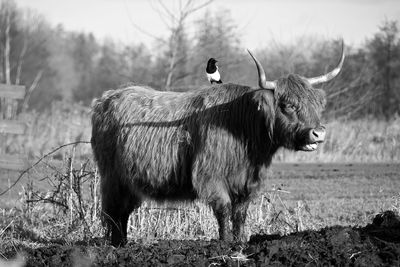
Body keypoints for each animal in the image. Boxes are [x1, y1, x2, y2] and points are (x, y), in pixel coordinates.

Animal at [90, 43, 344, 247]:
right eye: (289, 105)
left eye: (316, 104)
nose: (318, 133)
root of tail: (108, 97)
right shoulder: (211, 176)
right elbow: (223, 210)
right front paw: (225, 243)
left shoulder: (247, 183)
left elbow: (240, 214)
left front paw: (240, 242)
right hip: (112, 178)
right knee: (114, 212)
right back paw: (117, 246)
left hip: (130, 182)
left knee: (123, 212)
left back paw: (124, 243)